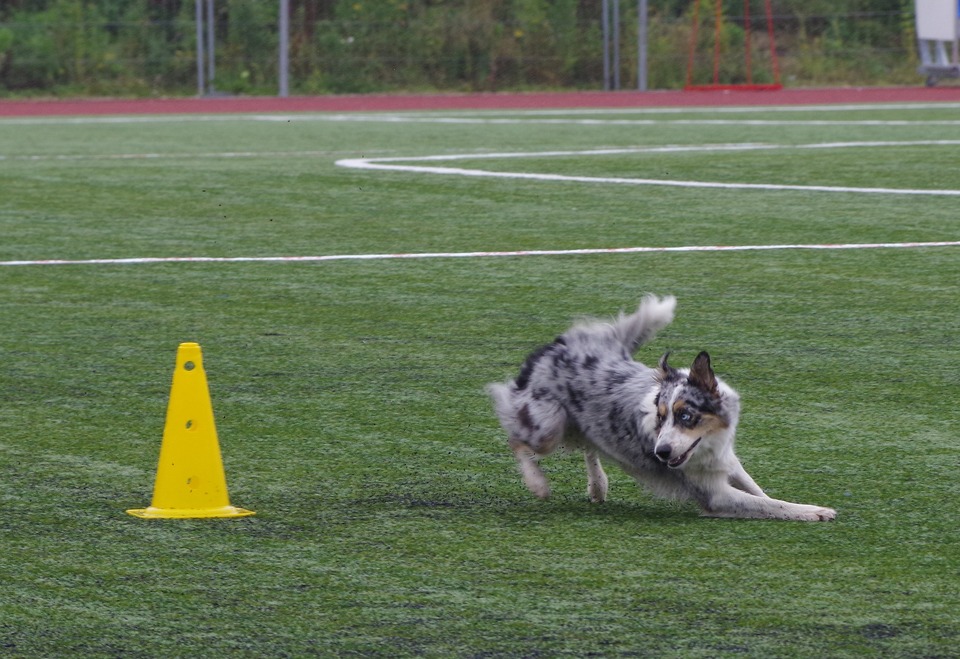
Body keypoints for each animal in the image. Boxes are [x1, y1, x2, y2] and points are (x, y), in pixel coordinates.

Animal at [488, 296, 832, 524]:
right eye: (661, 416)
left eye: (686, 416)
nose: (661, 453)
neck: (706, 447)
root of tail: (558, 344)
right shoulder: (714, 494)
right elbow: (771, 506)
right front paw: (815, 511)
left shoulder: (727, 460)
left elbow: (761, 494)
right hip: (547, 425)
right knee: (514, 437)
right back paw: (538, 483)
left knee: (589, 443)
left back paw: (598, 486)